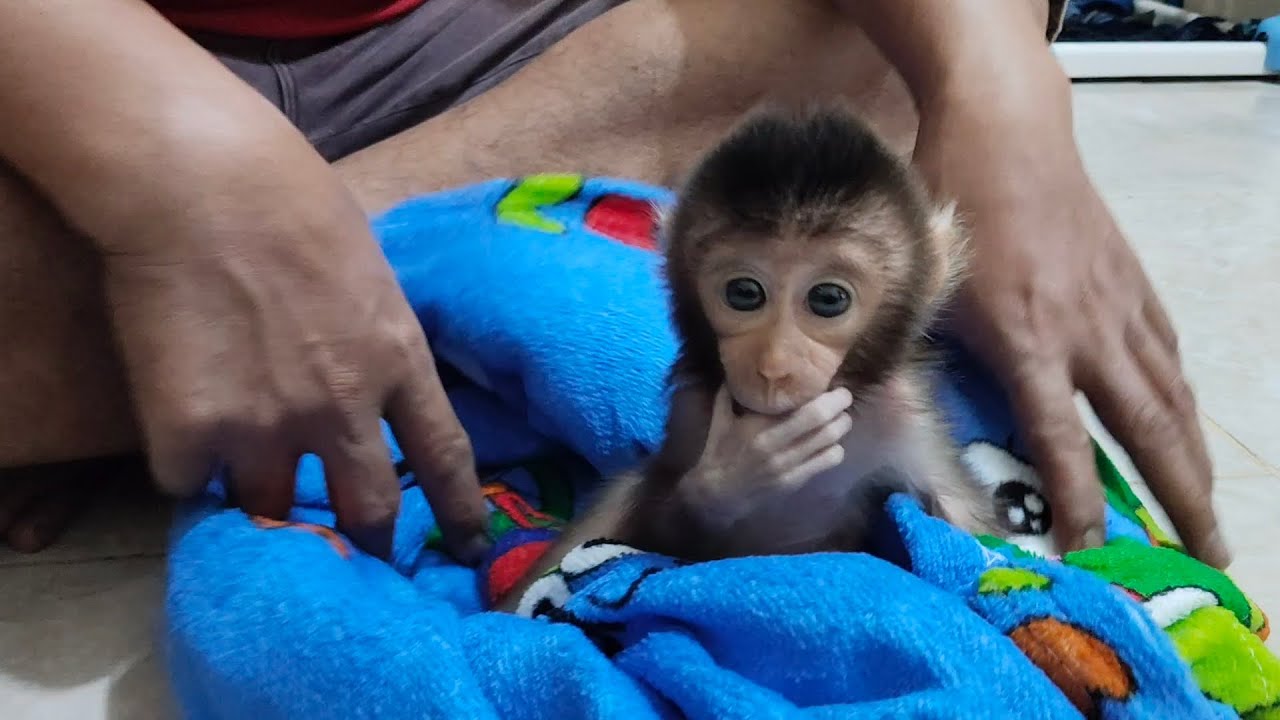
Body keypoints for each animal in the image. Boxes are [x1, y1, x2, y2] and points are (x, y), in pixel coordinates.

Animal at [494, 105, 1006, 615]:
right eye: (744, 293)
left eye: (828, 299)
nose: (774, 366)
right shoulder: (692, 412)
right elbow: (656, 540)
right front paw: (737, 475)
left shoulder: (904, 416)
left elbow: (972, 526)